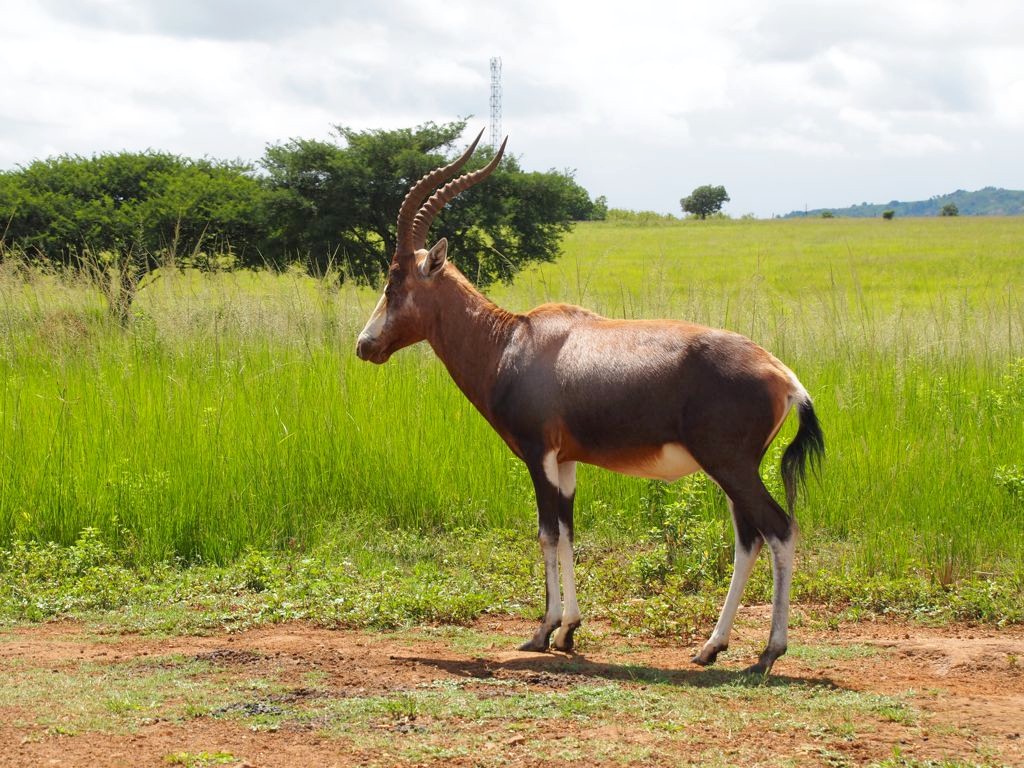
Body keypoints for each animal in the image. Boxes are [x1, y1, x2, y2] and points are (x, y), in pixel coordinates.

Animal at [356, 131, 824, 674]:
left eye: (394, 281)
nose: (365, 345)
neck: (514, 340)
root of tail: (784, 377)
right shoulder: (566, 461)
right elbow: (568, 531)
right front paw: (568, 631)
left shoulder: (537, 454)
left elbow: (546, 533)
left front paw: (541, 633)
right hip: (733, 470)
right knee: (748, 539)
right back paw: (711, 647)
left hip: (729, 465)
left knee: (778, 529)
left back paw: (768, 652)